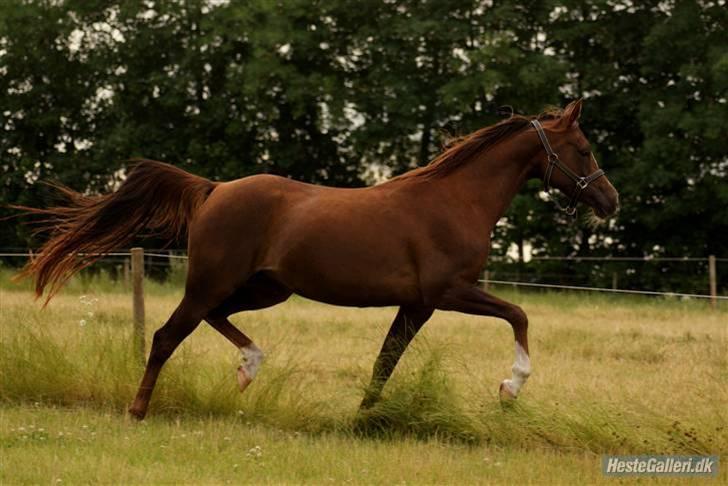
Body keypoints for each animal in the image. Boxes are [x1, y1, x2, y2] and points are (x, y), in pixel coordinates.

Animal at [17, 98, 616, 418]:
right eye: (585, 150)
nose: (610, 201)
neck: (455, 201)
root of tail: (213, 189)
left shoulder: (417, 305)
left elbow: (384, 361)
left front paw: (364, 417)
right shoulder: (447, 293)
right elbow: (519, 314)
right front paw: (511, 388)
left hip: (265, 288)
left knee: (216, 319)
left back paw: (248, 369)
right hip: (213, 280)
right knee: (167, 336)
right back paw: (139, 411)